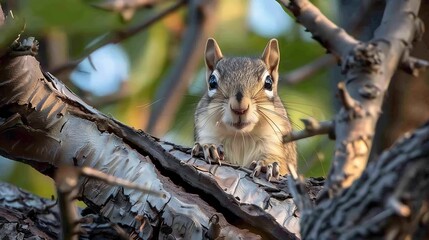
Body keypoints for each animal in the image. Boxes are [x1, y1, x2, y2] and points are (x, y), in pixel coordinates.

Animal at [192, 38, 296, 180]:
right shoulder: (206, 131)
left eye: (269, 83)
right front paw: (208, 147)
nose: (239, 108)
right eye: (212, 81)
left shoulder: (275, 141)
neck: (240, 137)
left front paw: (266, 164)